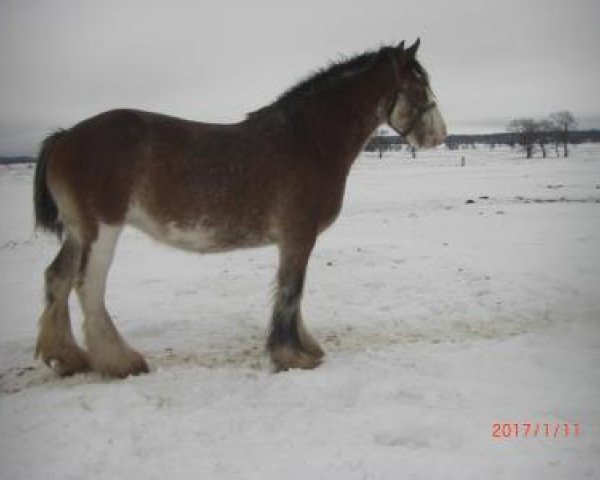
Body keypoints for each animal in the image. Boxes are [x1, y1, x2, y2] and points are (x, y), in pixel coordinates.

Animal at [32, 40, 446, 378]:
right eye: (418, 85)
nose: (440, 135)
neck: (307, 141)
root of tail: (65, 137)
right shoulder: (299, 236)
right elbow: (291, 290)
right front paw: (292, 357)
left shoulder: (293, 240)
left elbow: (292, 293)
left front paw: (303, 347)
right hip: (103, 230)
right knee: (87, 287)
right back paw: (120, 362)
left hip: (78, 232)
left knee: (57, 278)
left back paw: (67, 357)